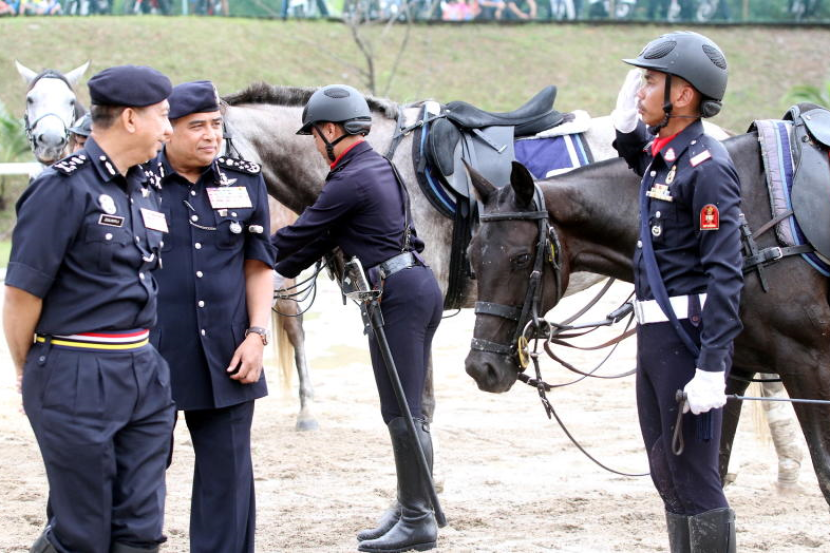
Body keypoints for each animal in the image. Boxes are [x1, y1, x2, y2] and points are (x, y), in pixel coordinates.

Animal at [462, 131, 830, 508]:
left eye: (521, 259)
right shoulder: (727, 371)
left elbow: (825, 474)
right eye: (471, 255)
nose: (481, 367)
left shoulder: (809, 364)